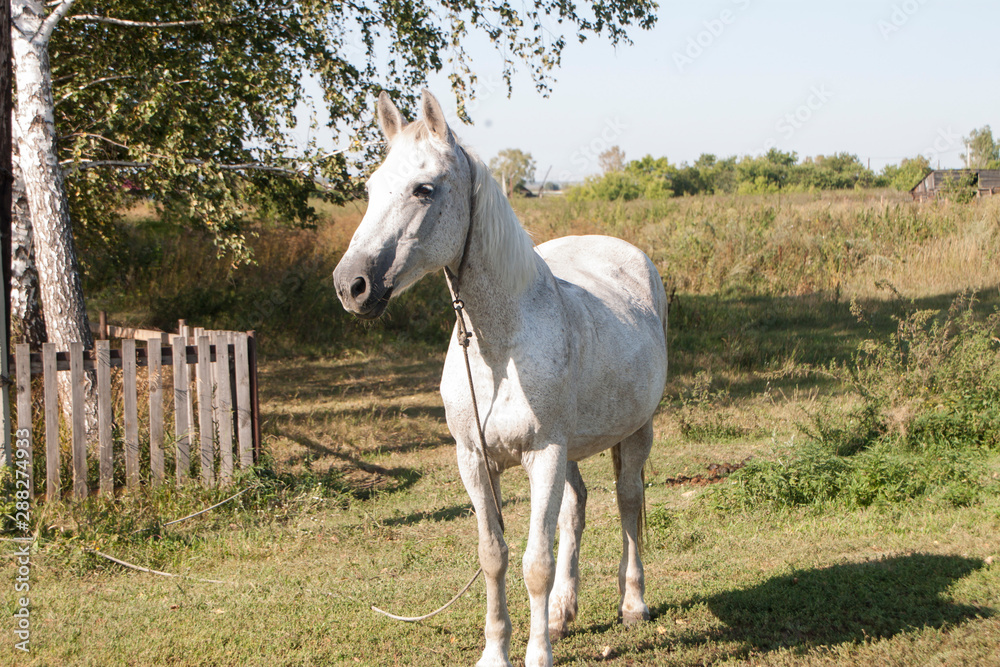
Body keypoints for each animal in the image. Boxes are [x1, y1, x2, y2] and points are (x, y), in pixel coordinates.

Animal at [332, 90, 668, 667]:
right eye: (371, 188)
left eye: (424, 189)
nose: (351, 285)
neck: (499, 349)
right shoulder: (474, 460)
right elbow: (494, 555)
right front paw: (497, 651)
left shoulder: (544, 455)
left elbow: (535, 562)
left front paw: (537, 655)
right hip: (572, 451)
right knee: (575, 510)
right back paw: (561, 614)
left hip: (632, 432)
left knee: (628, 500)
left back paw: (632, 604)